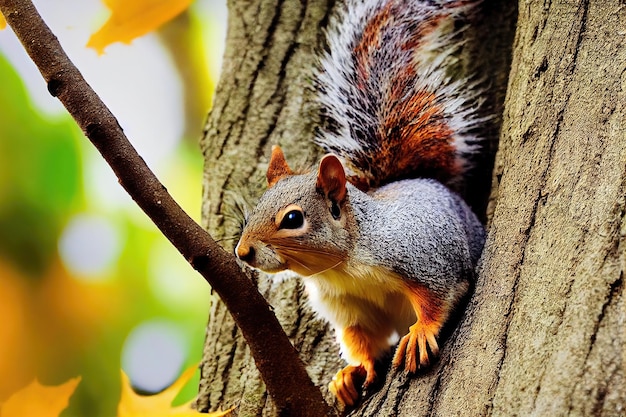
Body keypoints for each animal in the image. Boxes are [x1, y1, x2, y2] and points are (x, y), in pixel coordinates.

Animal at [233, 0, 482, 406]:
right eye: (253, 210)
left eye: (292, 219)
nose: (242, 252)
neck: (347, 265)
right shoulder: (350, 307)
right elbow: (362, 338)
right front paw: (352, 373)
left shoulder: (424, 254)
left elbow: (439, 296)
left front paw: (419, 334)